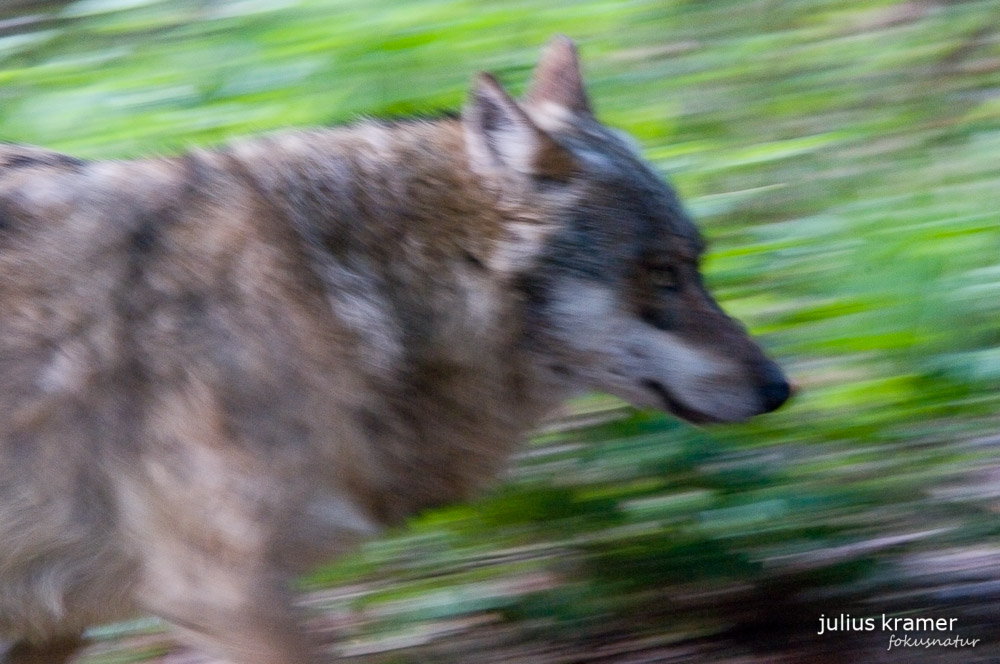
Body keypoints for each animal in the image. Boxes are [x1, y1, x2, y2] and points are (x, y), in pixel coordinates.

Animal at [0, 37, 788, 664]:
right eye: (663, 273)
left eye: (697, 264)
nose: (781, 388)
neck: (343, 297)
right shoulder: (223, 591)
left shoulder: (59, 621)